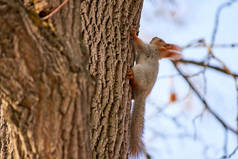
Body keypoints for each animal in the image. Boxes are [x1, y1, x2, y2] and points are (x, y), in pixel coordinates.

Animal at [127, 28, 181, 157]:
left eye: (160, 40)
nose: (155, 37)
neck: (157, 52)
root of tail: (142, 94)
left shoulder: (148, 48)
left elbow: (139, 44)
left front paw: (133, 33)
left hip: (139, 71)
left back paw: (131, 77)